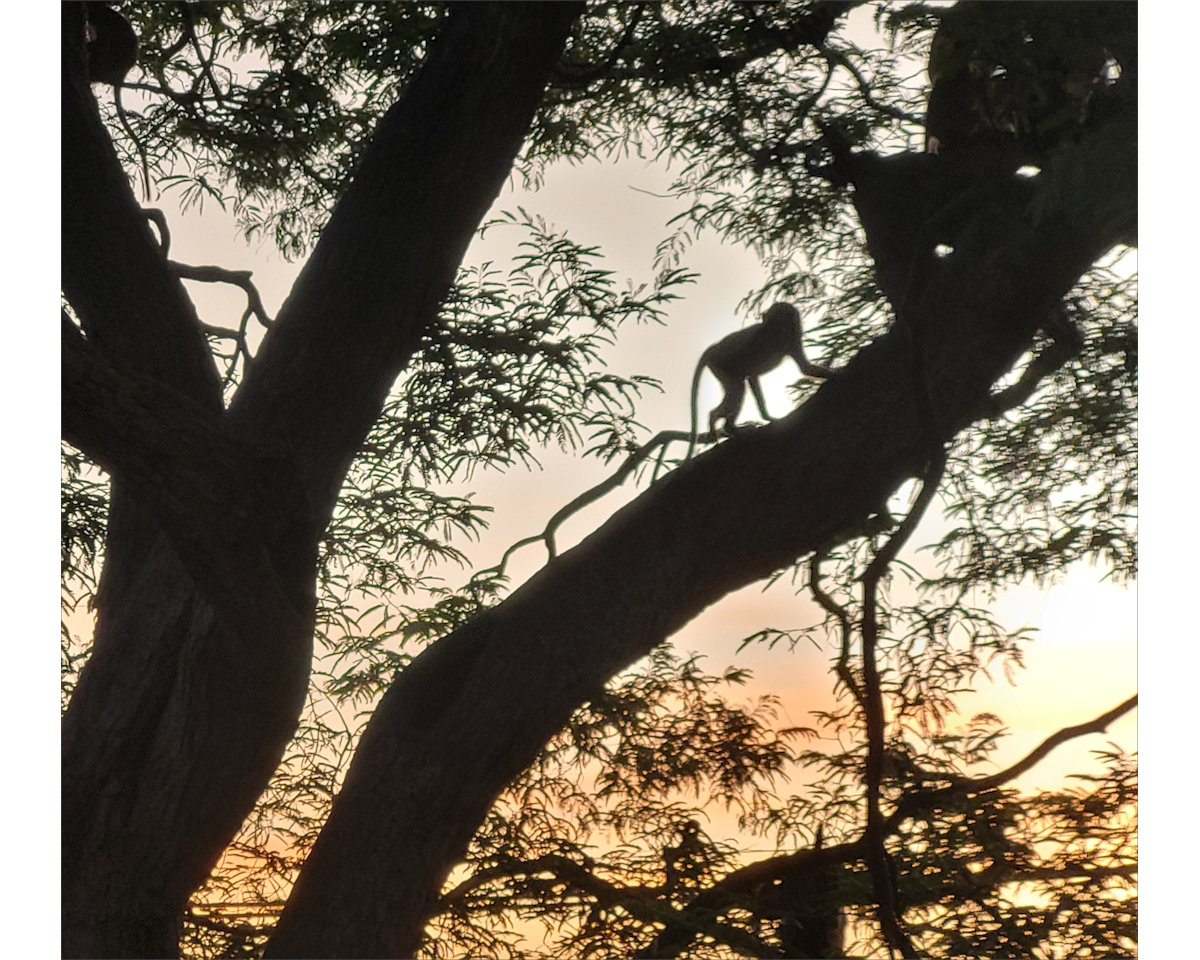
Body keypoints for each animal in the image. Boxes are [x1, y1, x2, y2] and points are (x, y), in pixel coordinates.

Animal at [687, 302, 832, 459]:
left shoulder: (792, 339)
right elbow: (752, 375)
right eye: (772, 320)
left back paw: (723, 425)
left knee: (737, 389)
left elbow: (804, 368)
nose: (769, 326)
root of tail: (713, 348)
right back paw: (721, 423)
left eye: (781, 319)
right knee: (738, 390)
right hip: (721, 363)